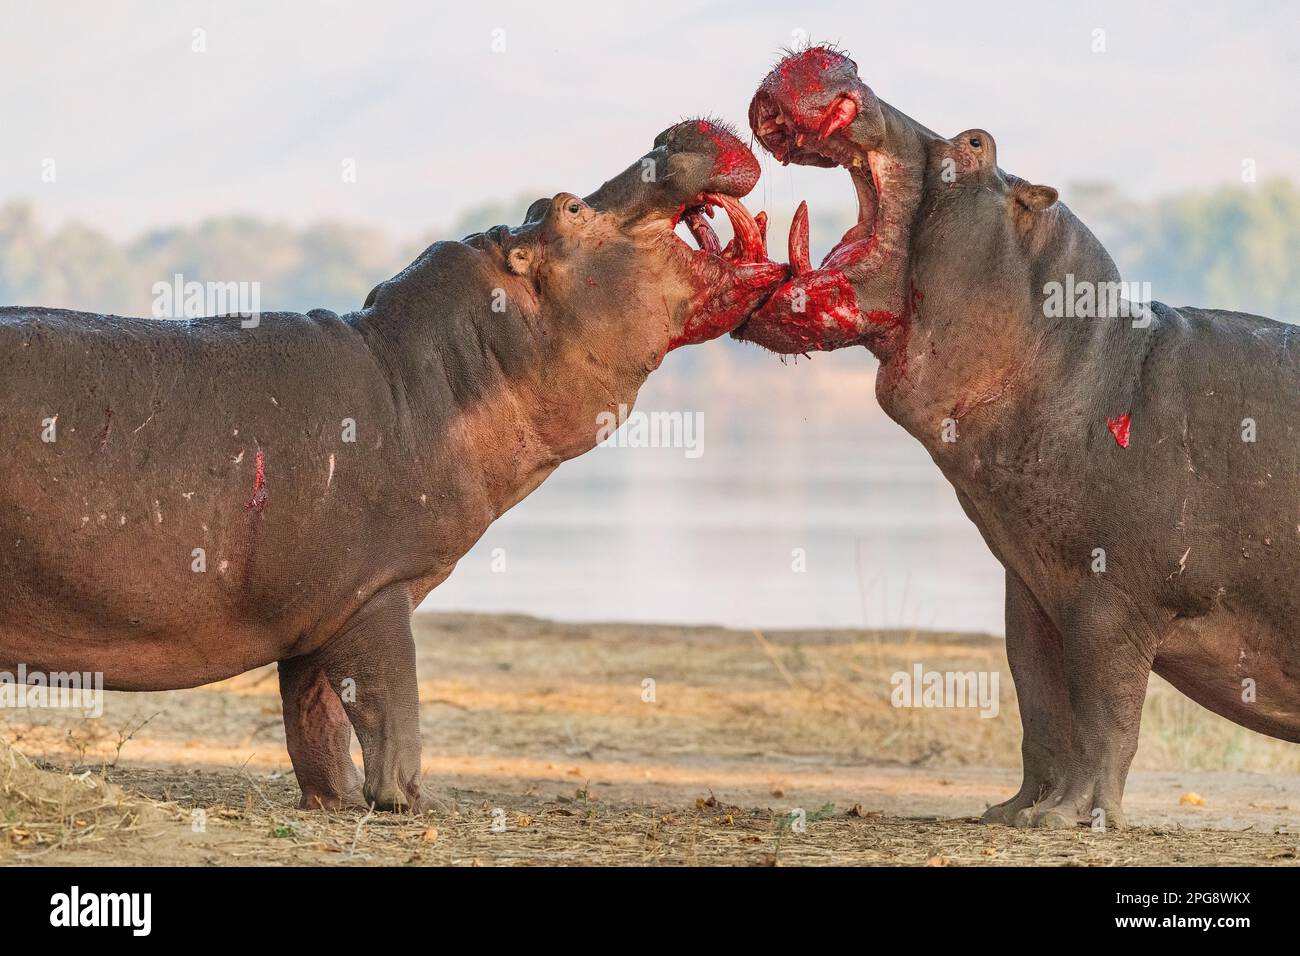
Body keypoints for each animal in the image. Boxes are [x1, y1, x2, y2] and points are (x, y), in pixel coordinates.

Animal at [0, 115, 780, 811]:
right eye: (570, 207)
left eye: (542, 205)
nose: (668, 137)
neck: (437, 375)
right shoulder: (377, 592)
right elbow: (391, 703)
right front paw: (407, 800)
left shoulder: (318, 611)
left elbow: (312, 717)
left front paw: (337, 802)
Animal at [738, 48, 1300, 832]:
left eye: (976, 143)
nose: (846, 71)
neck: (1078, 350)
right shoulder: (1031, 590)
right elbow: (1039, 704)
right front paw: (1013, 812)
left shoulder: (1109, 597)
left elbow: (1106, 710)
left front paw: (1069, 818)